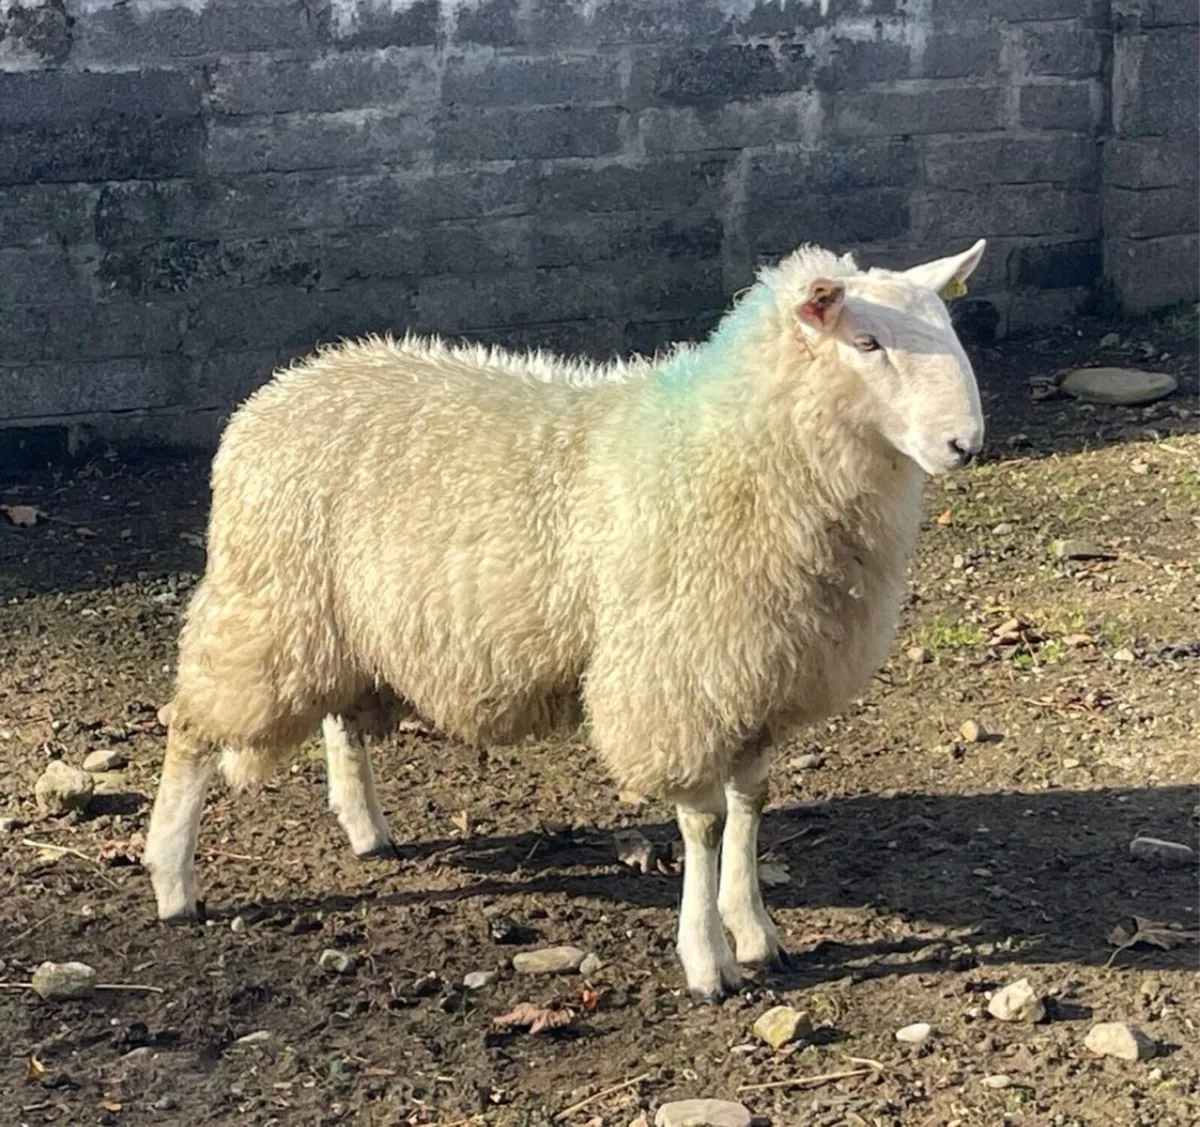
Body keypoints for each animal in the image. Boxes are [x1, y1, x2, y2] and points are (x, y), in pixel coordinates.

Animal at [143, 237, 987, 1002]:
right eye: (867, 342)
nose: (965, 443)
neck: (737, 445)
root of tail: (285, 385)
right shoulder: (679, 673)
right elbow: (706, 824)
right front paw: (706, 961)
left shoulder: (753, 673)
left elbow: (751, 804)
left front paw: (754, 929)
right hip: (265, 602)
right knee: (191, 727)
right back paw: (172, 880)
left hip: (343, 619)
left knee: (340, 719)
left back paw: (366, 830)